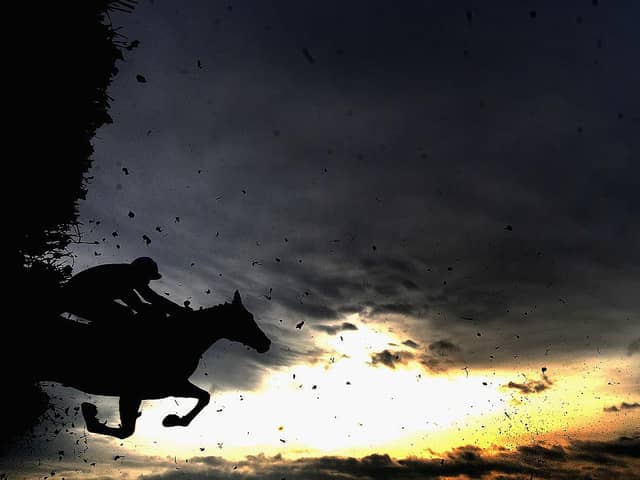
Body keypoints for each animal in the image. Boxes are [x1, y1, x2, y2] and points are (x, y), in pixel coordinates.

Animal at [20, 290, 270, 440]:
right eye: (246, 318)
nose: (266, 343)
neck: (180, 339)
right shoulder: (136, 390)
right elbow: (126, 431)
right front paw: (90, 413)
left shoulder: (166, 387)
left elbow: (204, 396)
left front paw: (172, 420)